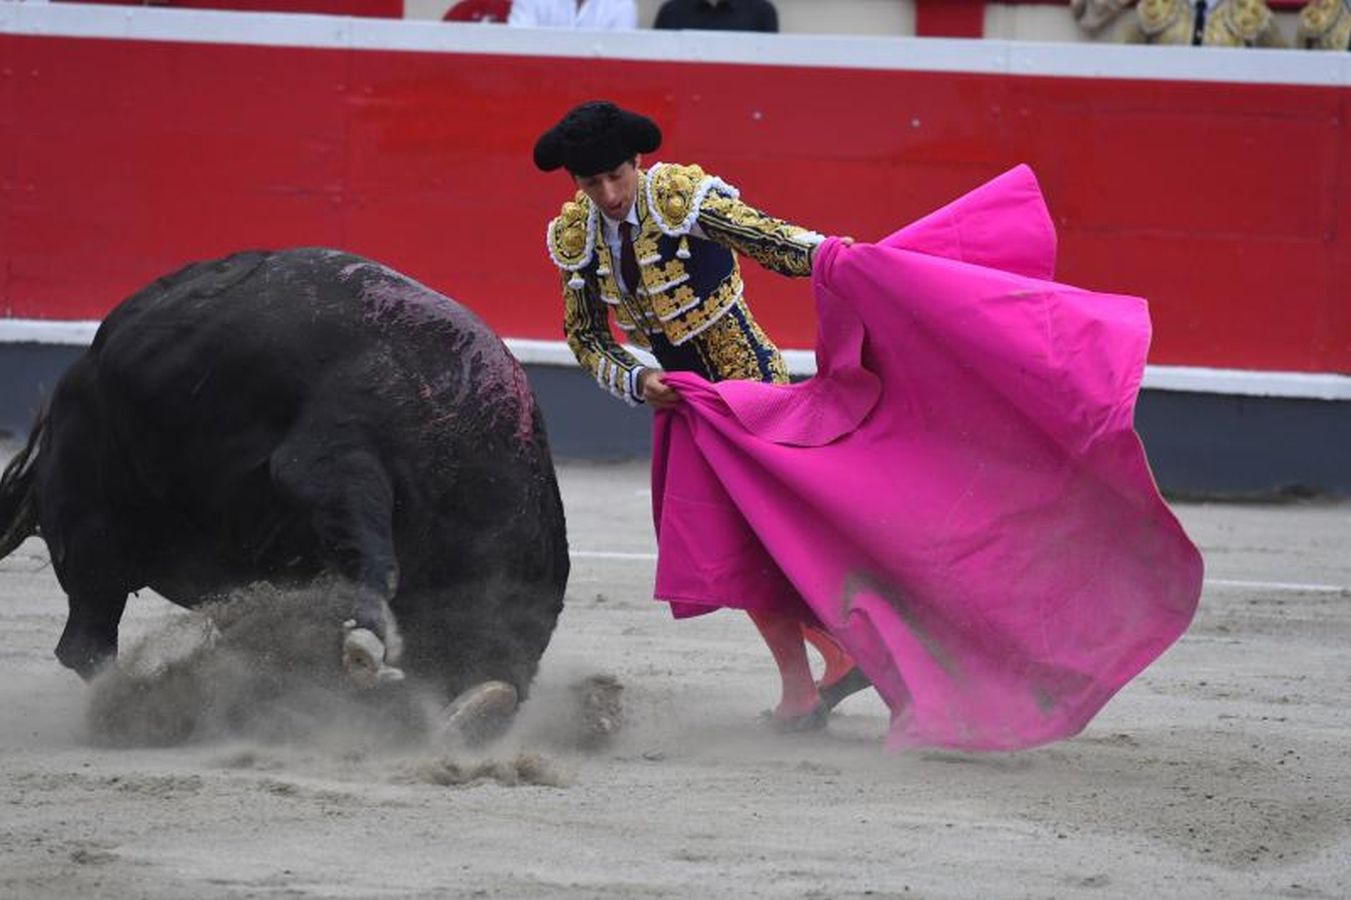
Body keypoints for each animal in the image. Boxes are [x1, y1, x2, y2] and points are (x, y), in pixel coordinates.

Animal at [0, 248, 567, 702]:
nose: (495, 699)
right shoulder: (331, 457)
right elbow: (377, 560)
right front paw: (367, 637)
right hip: (89, 529)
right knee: (87, 641)